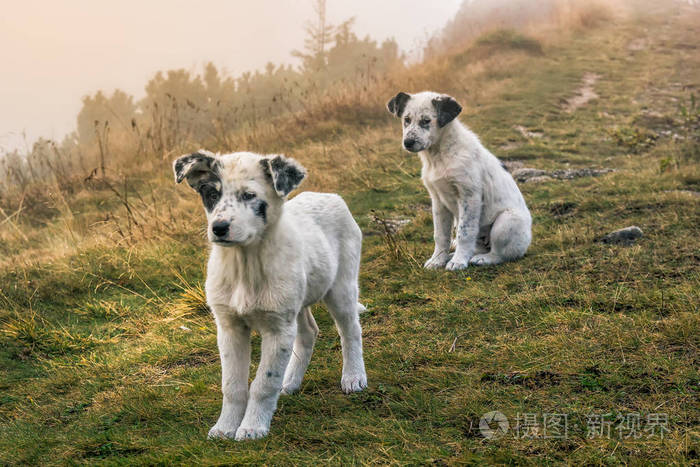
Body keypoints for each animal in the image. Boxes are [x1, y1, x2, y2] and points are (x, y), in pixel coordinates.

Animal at [173, 151, 366, 442]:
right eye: (211, 194)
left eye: (248, 196)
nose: (219, 228)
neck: (245, 263)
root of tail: (329, 195)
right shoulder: (230, 327)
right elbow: (232, 385)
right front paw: (226, 426)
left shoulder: (277, 328)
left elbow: (264, 382)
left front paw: (252, 427)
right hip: (298, 301)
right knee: (308, 332)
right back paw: (291, 382)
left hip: (341, 287)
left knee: (350, 330)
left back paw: (353, 377)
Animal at [388, 91, 532, 270]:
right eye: (406, 119)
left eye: (426, 121)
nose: (407, 143)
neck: (439, 155)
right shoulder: (438, 200)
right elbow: (441, 235)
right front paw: (438, 260)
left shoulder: (469, 196)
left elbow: (465, 232)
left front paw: (458, 262)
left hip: (507, 221)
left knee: (501, 253)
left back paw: (482, 259)